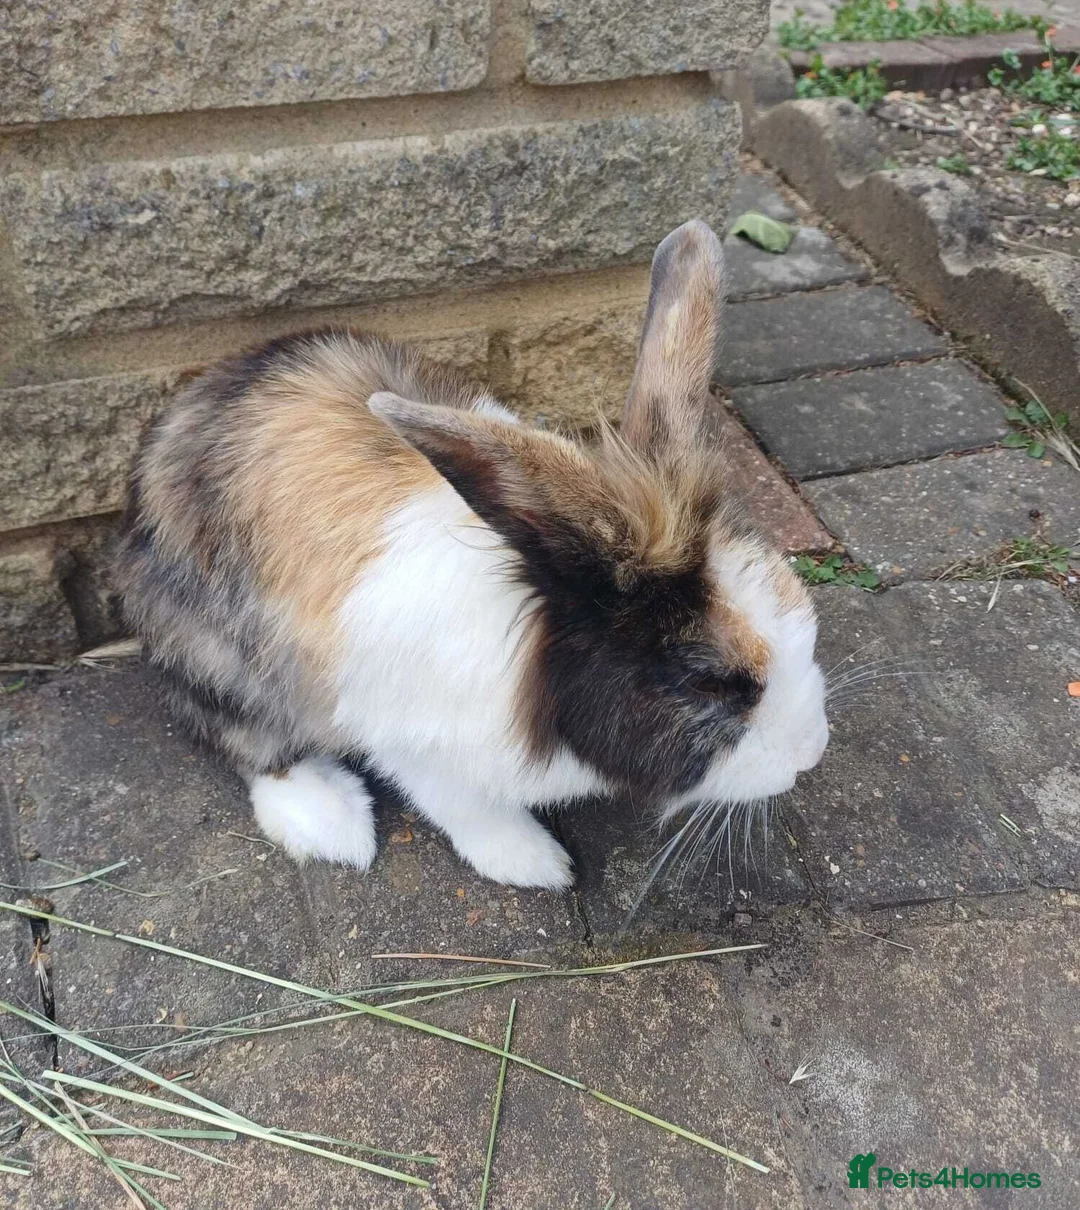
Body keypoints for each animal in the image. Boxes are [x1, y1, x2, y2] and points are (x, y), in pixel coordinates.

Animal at [116, 219, 829, 890]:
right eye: (708, 682)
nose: (811, 754)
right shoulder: (406, 736)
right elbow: (464, 804)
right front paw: (534, 863)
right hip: (216, 656)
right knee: (243, 739)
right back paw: (333, 825)